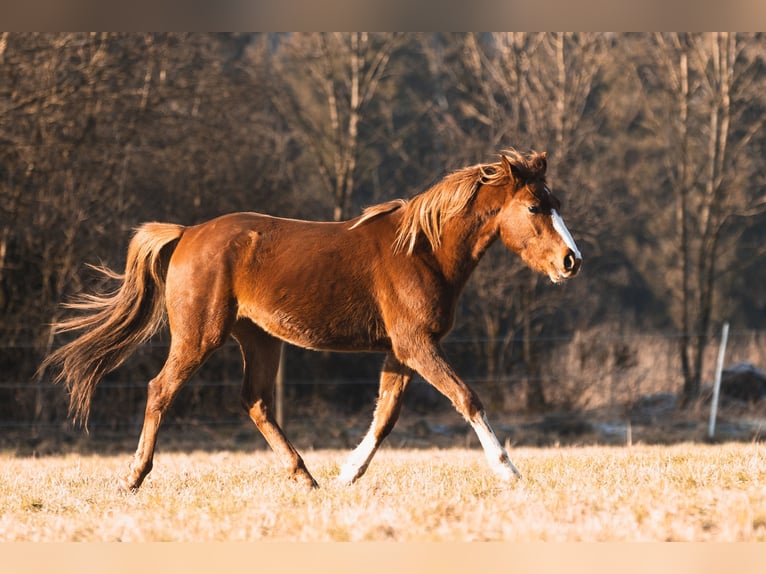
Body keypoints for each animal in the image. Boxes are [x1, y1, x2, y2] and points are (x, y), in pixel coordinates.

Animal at [42, 151, 584, 492]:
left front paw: (347, 473)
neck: (422, 251)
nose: (571, 261)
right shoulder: (418, 346)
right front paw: (509, 471)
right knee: (160, 391)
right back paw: (134, 477)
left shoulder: (402, 351)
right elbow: (467, 398)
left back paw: (305, 477)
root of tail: (187, 233)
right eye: (534, 207)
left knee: (256, 402)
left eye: (557, 205)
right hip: (200, 337)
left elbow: (385, 416)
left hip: (259, 340)